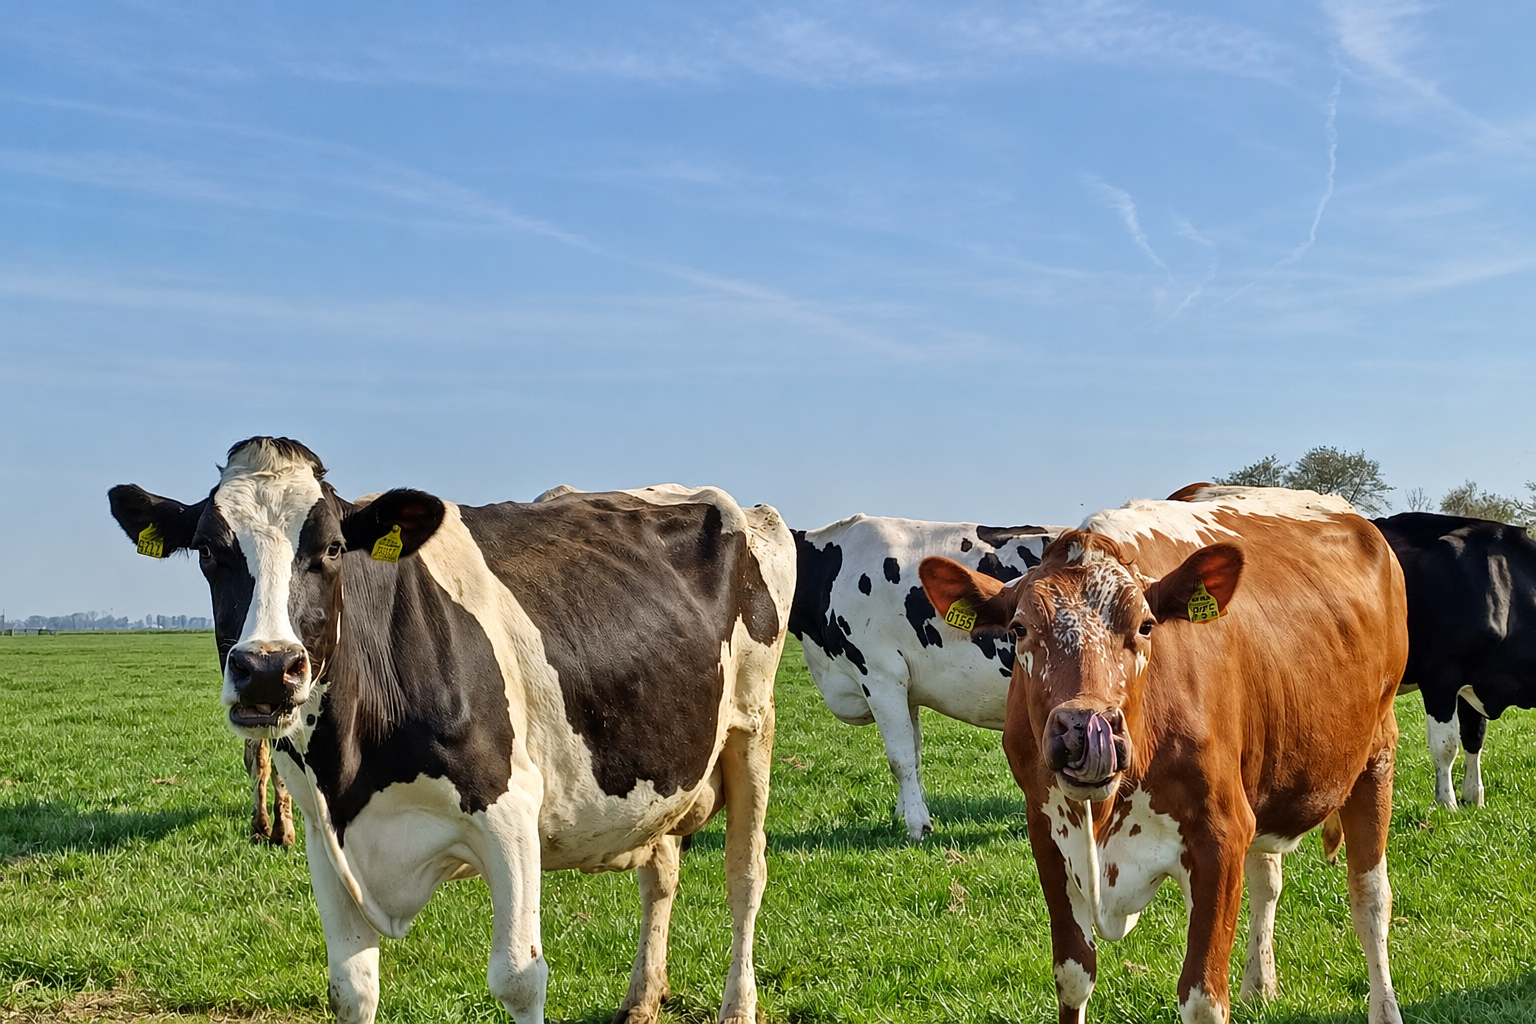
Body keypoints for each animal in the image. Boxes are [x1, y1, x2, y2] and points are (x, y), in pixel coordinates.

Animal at [108, 437, 793, 1024]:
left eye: (331, 549)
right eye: (208, 551)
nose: (269, 669)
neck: (353, 767)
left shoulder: (509, 809)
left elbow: (519, 977)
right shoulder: (325, 835)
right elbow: (351, 987)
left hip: (751, 726)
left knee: (745, 874)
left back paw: (738, 1007)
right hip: (663, 766)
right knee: (662, 873)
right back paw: (641, 1000)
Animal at [789, 515, 1064, 839]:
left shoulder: (880, 675)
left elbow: (901, 757)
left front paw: (917, 825)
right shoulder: (905, 690)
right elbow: (915, 753)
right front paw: (903, 813)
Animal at [919, 485, 1408, 1024]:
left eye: (1147, 625)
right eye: (1021, 628)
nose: (1084, 730)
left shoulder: (1219, 835)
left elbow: (1202, 998)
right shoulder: (1047, 833)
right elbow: (1072, 976)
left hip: (1376, 754)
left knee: (1370, 898)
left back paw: (1384, 1006)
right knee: (1267, 878)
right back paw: (1259, 984)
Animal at [1373, 512, 1536, 809]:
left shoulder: (1475, 679)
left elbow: (1474, 737)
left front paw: (1474, 797)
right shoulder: (1440, 678)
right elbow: (1446, 746)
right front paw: (1447, 802)